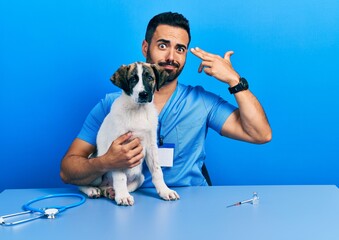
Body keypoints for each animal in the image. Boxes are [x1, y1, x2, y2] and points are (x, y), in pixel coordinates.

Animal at [79, 61, 181, 205]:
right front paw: (123, 196)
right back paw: (92, 190)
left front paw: (165, 191)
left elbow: (157, 171)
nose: (143, 94)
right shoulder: (118, 150)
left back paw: (110, 191)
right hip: (96, 166)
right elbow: (120, 177)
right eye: (133, 79)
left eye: (150, 78)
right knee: (81, 183)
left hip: (140, 178)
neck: (138, 111)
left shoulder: (151, 146)